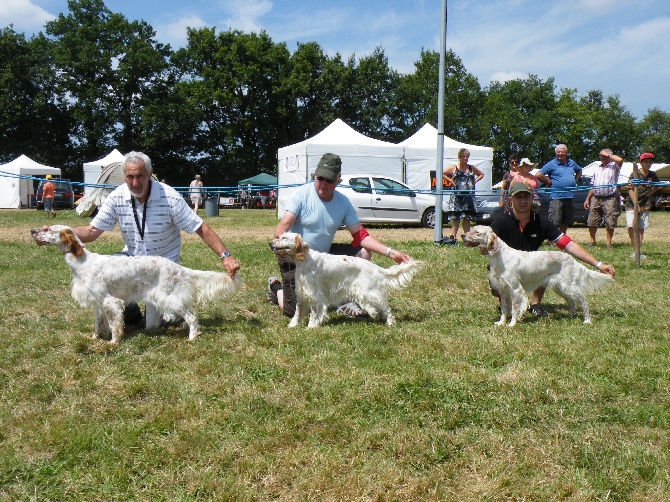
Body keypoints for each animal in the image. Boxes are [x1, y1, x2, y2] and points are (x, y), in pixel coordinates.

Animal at [32, 226, 242, 344]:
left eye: (48, 230)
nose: (32, 231)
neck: (82, 262)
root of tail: (179, 268)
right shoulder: (97, 302)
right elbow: (98, 324)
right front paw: (94, 338)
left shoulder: (110, 301)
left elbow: (114, 324)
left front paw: (113, 342)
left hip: (169, 298)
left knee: (191, 317)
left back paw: (192, 337)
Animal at [270, 232, 422, 328]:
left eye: (284, 238)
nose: (270, 243)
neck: (305, 260)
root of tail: (376, 267)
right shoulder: (301, 293)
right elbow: (297, 311)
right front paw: (293, 325)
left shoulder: (314, 295)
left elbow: (313, 313)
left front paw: (311, 327)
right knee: (376, 309)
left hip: (370, 293)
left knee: (386, 308)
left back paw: (390, 323)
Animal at [468, 226, 616, 328]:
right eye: (470, 230)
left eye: (477, 232)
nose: (463, 235)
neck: (500, 257)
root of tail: (572, 259)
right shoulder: (503, 290)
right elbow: (505, 309)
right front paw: (501, 322)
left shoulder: (516, 290)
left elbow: (514, 309)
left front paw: (512, 324)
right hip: (560, 287)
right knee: (571, 302)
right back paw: (570, 317)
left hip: (569, 287)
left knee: (583, 303)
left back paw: (587, 320)